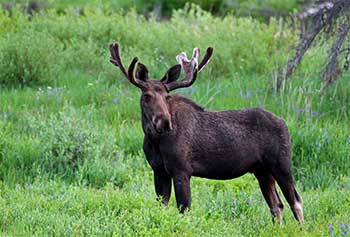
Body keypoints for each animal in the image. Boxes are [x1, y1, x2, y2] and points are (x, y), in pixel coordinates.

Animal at [108, 43, 304, 224]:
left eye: (167, 96)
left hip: (281, 164)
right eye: (146, 96)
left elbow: (184, 209)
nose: (165, 122)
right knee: (276, 205)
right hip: (261, 170)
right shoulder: (158, 170)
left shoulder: (182, 170)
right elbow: (162, 206)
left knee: (295, 201)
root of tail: (284, 123)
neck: (154, 141)